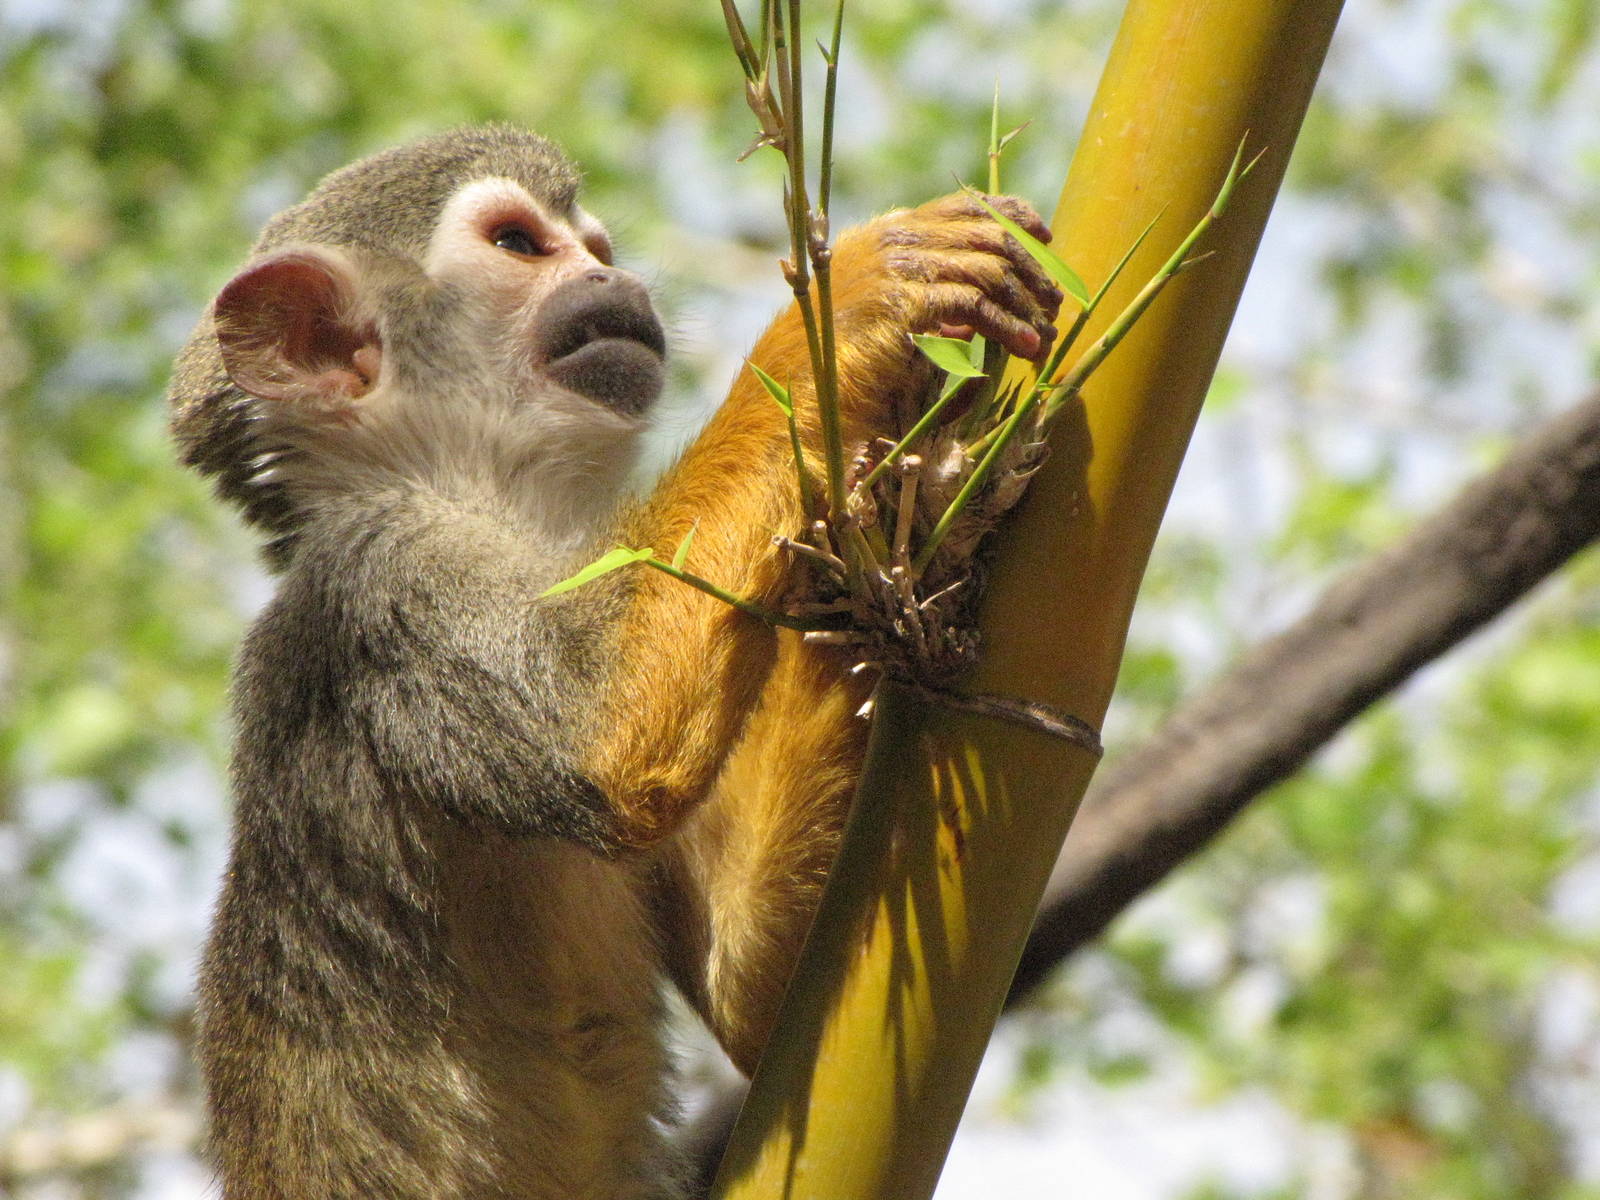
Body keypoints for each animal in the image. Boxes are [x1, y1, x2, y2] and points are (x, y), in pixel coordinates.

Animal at [169, 124, 1060, 1200]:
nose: (612, 279)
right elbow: (603, 737)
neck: (468, 485)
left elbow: (760, 1000)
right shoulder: (386, 577)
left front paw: (885, 511)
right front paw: (853, 297)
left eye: (592, 245)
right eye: (520, 245)